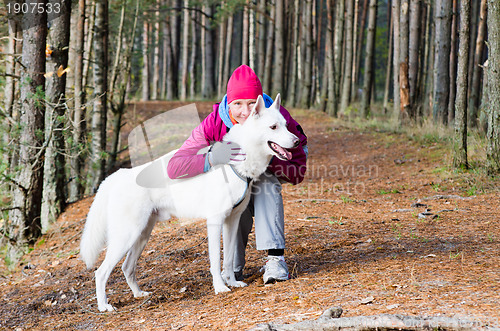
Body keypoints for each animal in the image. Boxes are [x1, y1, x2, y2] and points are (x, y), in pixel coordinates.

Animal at [78, 94, 296, 312]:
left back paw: (139, 294)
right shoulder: (215, 222)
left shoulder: (232, 221)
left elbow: (228, 259)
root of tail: (116, 175)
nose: (296, 141)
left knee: (126, 267)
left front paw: (232, 282)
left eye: (286, 125)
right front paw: (220, 287)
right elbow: (215, 261)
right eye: (273, 127)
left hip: (141, 235)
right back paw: (104, 306)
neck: (236, 162)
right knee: (101, 272)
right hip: (127, 236)